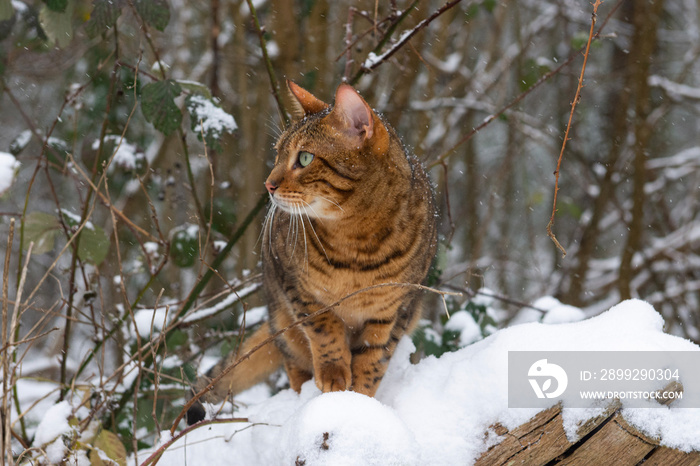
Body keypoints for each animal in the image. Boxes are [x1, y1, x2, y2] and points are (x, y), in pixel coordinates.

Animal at [186, 82, 438, 424]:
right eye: (277, 153)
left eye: (305, 158)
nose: (268, 185)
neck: (357, 243)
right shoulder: (295, 285)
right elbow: (324, 328)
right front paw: (334, 375)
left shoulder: (398, 307)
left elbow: (375, 355)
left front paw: (360, 397)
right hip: (282, 322)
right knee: (294, 362)